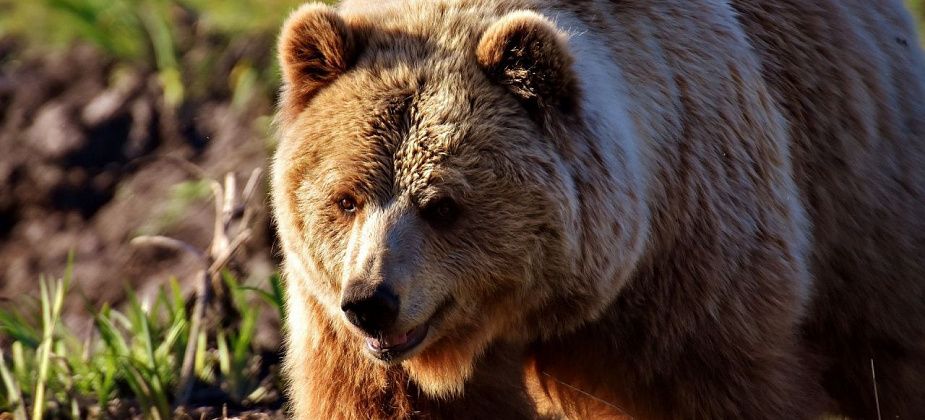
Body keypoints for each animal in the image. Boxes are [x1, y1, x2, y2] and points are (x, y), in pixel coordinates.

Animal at [270, 0, 925, 418]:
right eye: (346, 198)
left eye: (443, 205)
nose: (372, 303)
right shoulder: (339, 324)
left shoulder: (693, 257)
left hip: (857, 186)